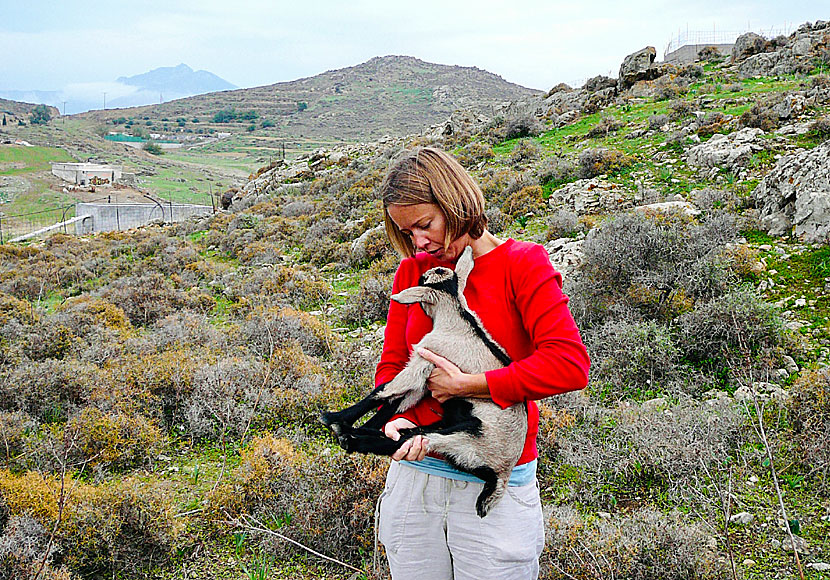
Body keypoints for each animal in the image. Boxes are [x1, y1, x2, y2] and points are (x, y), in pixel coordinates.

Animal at [322, 247, 528, 520]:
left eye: (421, 282)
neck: (459, 320)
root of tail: (501, 476)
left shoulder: (422, 362)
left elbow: (384, 391)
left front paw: (334, 419)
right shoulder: (426, 379)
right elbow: (394, 401)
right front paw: (356, 423)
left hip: (462, 440)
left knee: (406, 439)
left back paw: (352, 439)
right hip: (453, 429)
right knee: (406, 433)